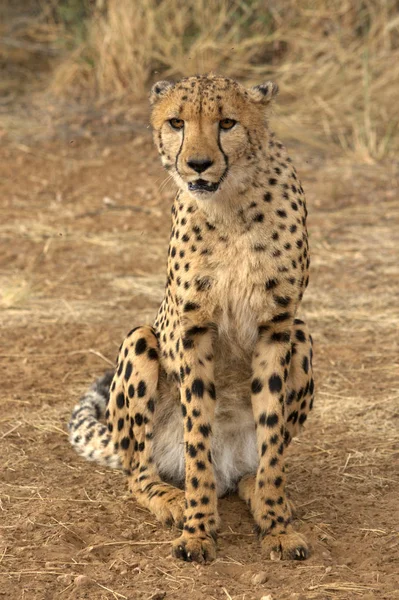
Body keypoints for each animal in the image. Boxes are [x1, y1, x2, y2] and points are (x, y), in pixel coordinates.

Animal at [70, 75, 318, 564]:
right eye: (176, 122)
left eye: (227, 123)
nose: (198, 164)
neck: (232, 204)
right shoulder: (192, 329)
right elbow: (198, 437)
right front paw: (198, 530)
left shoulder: (277, 326)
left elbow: (272, 439)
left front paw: (278, 526)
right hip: (140, 341)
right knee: (136, 472)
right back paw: (170, 497)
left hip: (301, 336)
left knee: (256, 464)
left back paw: (259, 491)